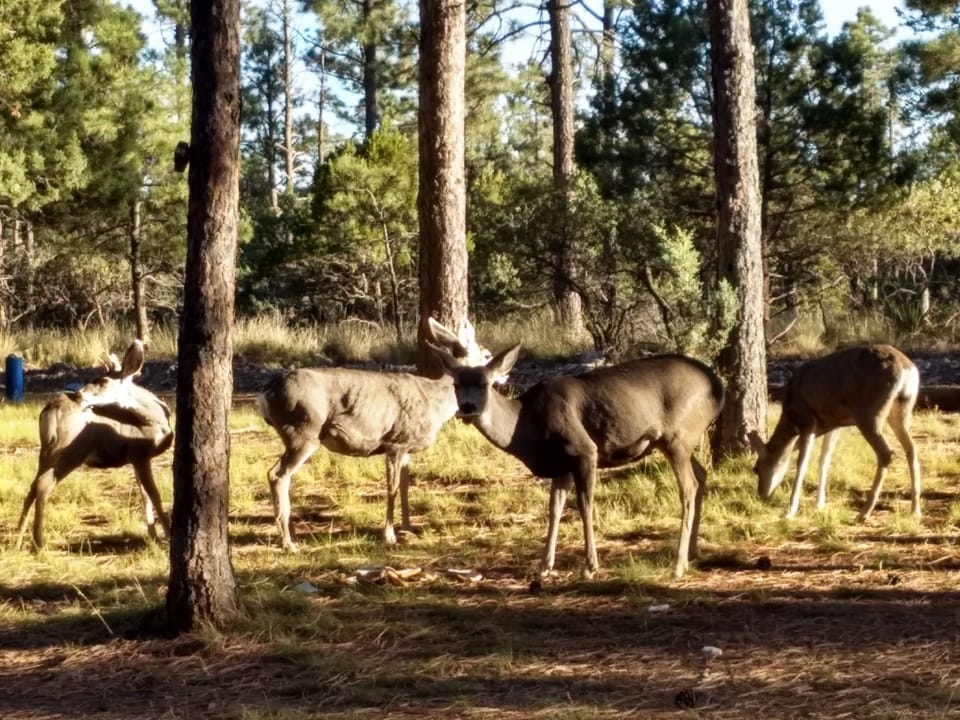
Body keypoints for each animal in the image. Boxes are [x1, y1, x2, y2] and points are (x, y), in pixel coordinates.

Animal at [15, 339, 174, 550]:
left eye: (104, 381)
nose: (78, 394)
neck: (156, 421)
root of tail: (51, 409)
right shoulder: (140, 452)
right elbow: (154, 495)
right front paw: (167, 535)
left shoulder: (135, 457)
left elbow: (144, 495)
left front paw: (153, 536)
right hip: (71, 450)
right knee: (43, 485)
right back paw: (39, 543)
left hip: (47, 450)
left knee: (33, 486)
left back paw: (18, 539)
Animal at [257, 317, 495, 551]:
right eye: (486, 355)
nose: (501, 375)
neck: (435, 400)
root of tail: (266, 393)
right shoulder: (395, 442)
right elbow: (392, 488)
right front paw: (389, 536)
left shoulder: (406, 446)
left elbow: (406, 487)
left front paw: (408, 528)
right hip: (303, 432)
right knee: (276, 474)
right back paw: (288, 542)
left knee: (283, 476)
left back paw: (293, 534)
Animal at [430, 343, 725, 581]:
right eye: (456, 385)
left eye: (484, 384)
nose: (467, 408)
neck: (525, 425)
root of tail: (718, 386)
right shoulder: (562, 465)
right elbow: (555, 509)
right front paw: (544, 566)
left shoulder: (584, 450)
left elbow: (585, 505)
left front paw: (590, 566)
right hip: (679, 442)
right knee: (702, 474)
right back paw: (692, 554)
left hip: (678, 436)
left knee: (688, 487)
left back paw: (678, 566)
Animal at [746, 344, 921, 520]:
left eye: (756, 469)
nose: (761, 495)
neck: (790, 421)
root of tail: (907, 369)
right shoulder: (834, 424)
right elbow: (824, 460)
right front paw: (820, 504)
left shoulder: (808, 422)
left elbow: (802, 465)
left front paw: (790, 511)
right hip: (902, 409)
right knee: (911, 448)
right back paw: (915, 510)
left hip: (869, 413)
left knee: (886, 453)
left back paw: (864, 512)